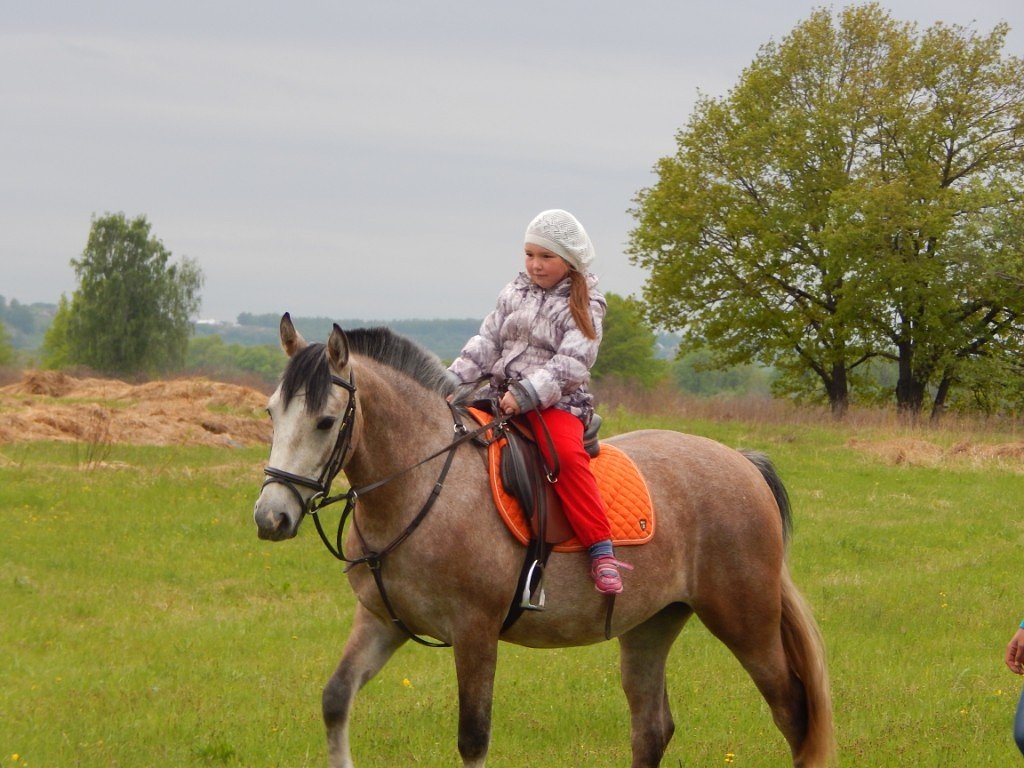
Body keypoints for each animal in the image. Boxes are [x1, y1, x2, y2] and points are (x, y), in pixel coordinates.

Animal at [251, 313, 835, 768]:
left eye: (326, 421)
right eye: (272, 411)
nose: (270, 517)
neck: (423, 483)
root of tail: (742, 462)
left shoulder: (475, 633)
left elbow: (473, 739)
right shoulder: (383, 622)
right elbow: (335, 700)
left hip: (745, 621)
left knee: (793, 713)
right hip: (650, 626)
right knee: (653, 728)